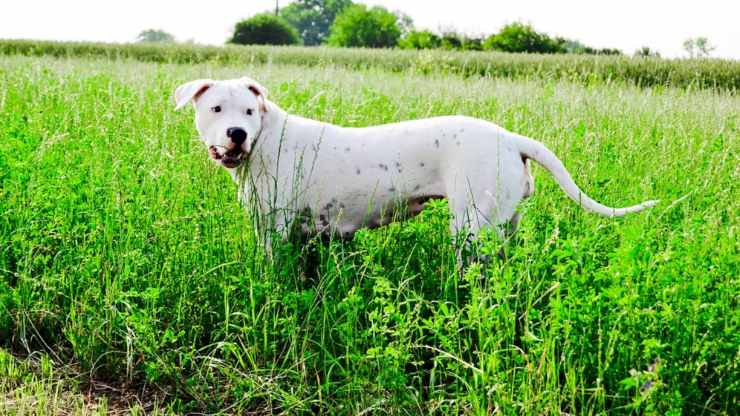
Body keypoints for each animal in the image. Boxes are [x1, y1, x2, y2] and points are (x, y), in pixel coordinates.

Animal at [175, 76, 660, 247]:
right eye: (216, 109)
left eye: (249, 111)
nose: (236, 134)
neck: (264, 141)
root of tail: (510, 138)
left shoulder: (275, 227)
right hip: (504, 222)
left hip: (471, 225)